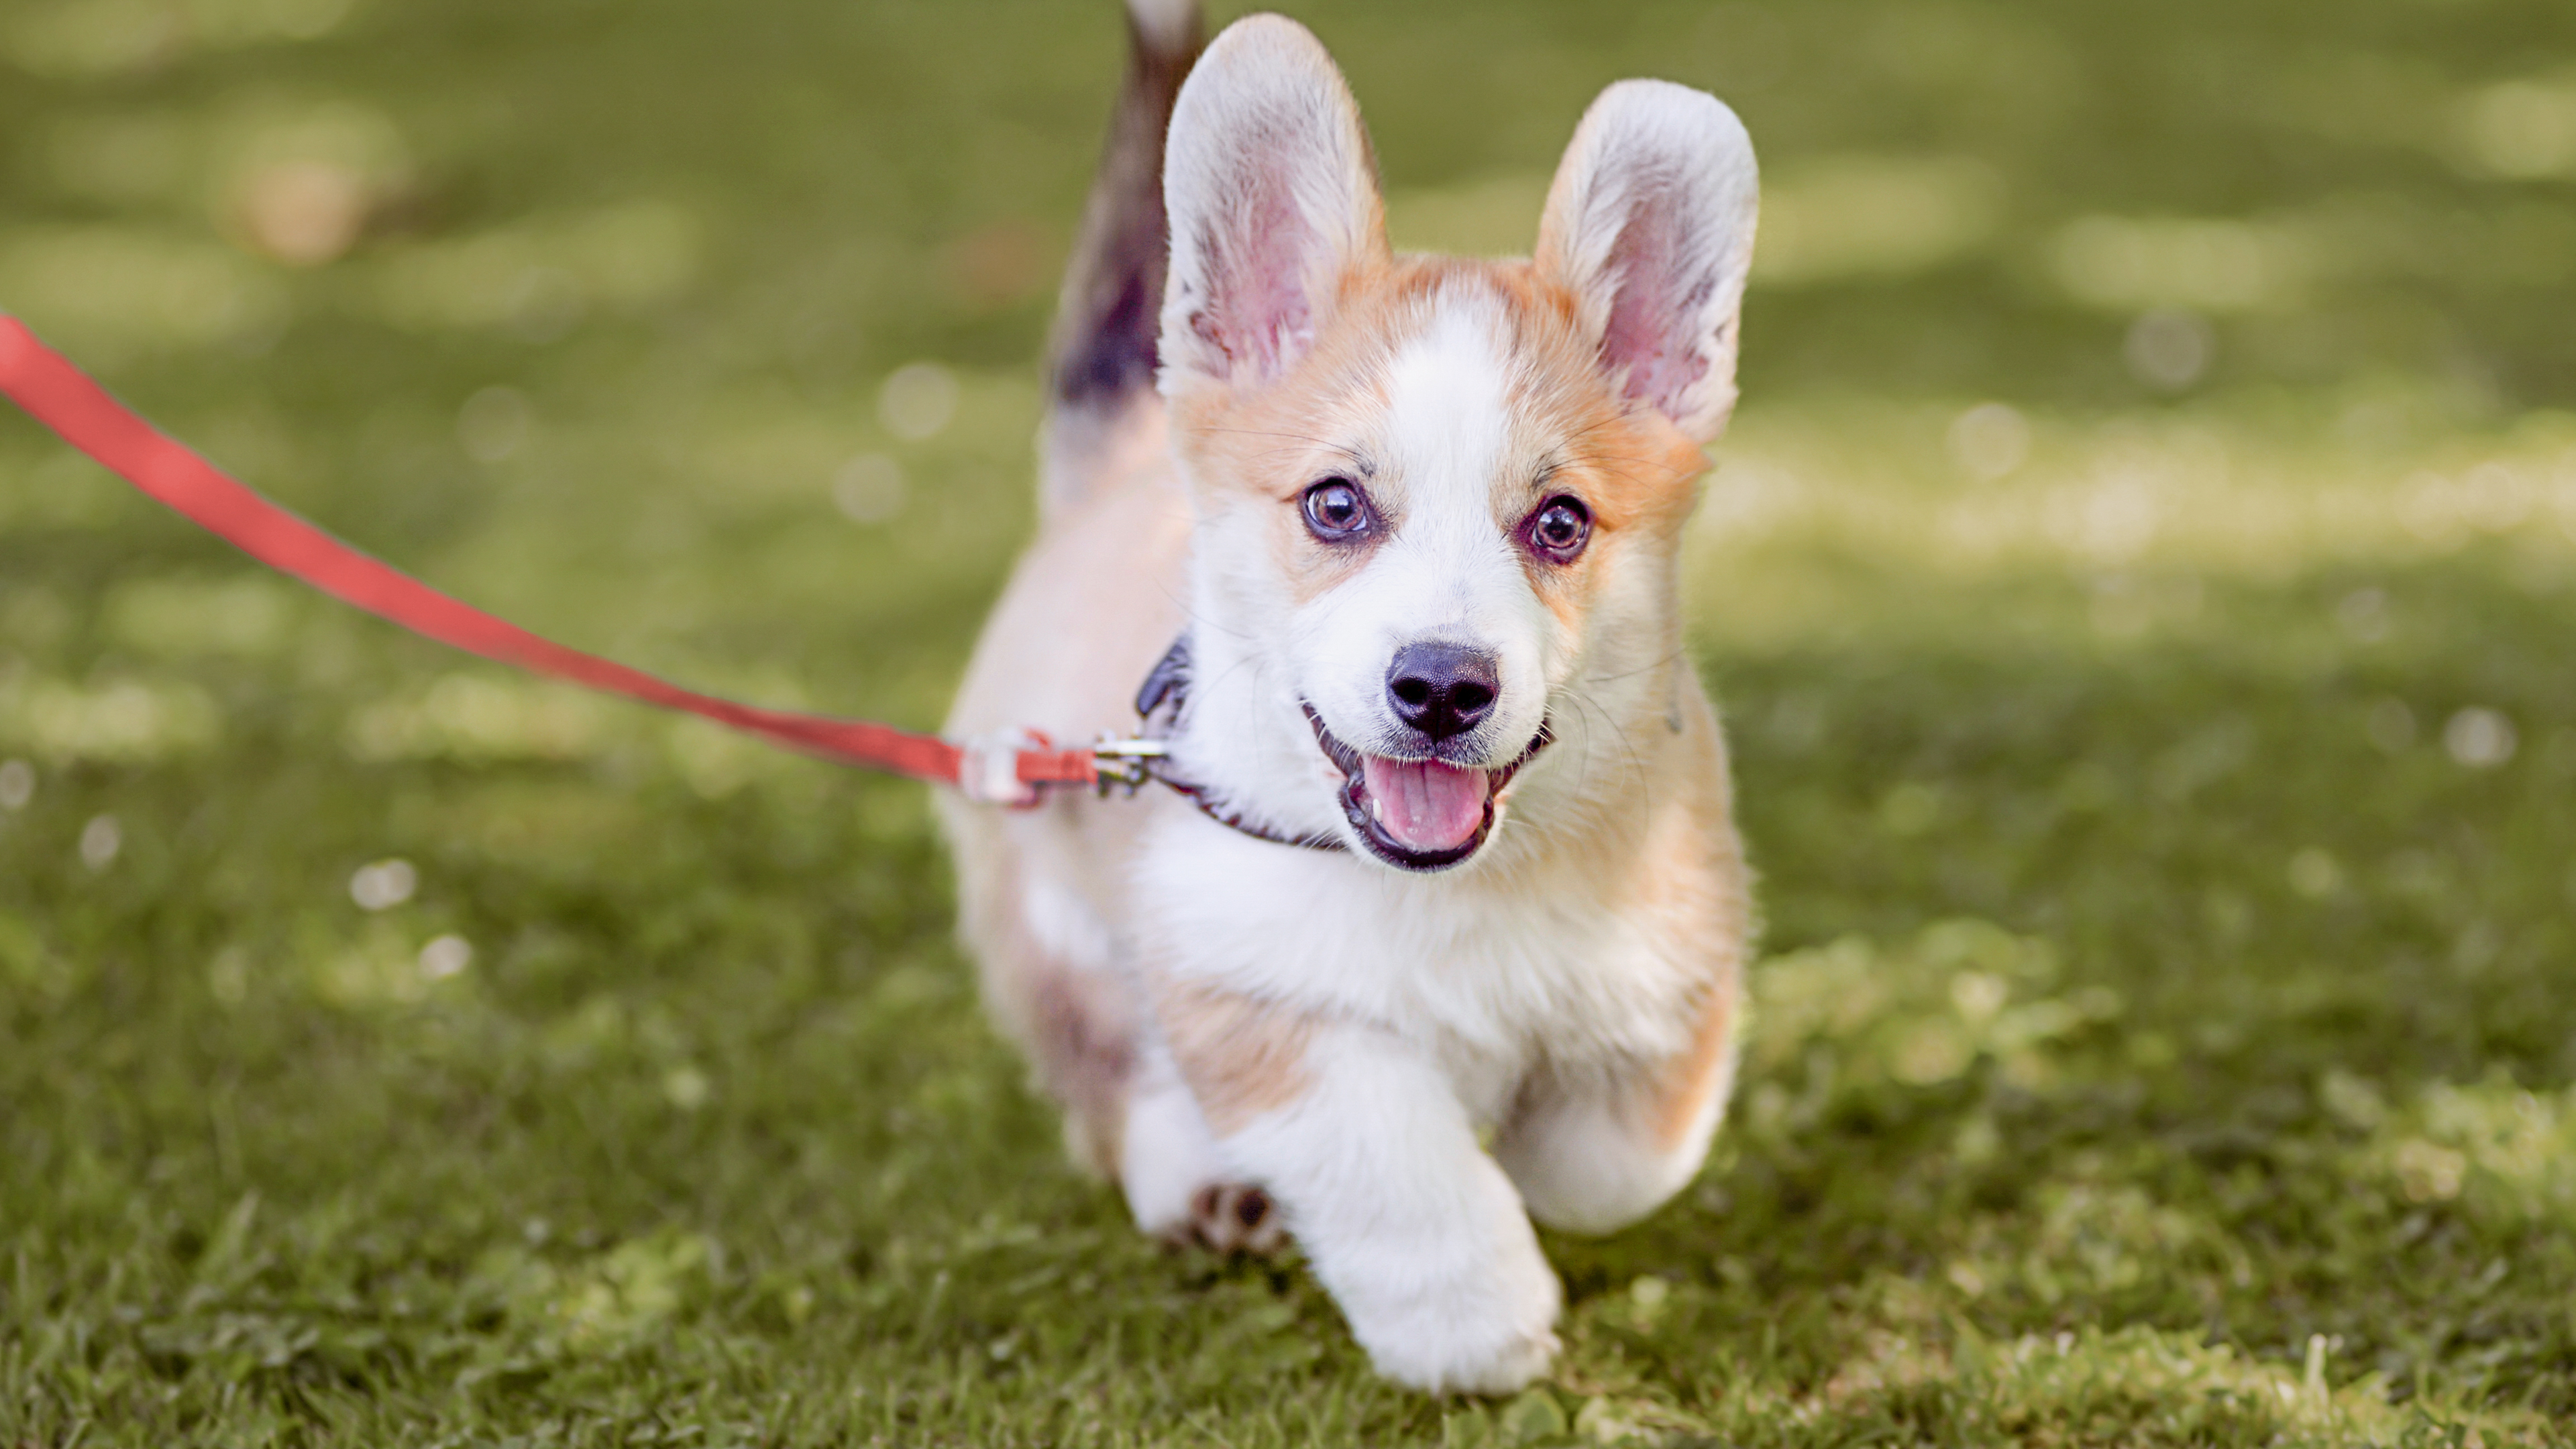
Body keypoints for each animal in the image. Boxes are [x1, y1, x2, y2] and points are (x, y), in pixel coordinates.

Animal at [937, 3, 1762, 1392]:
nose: (1440, 687)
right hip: (1045, 903)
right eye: (1336, 506)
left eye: (1559, 523)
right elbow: (1396, 1164)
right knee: (1110, 1073)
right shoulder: (1251, 980)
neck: (1456, 890)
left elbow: (1614, 1163)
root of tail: (1110, 472)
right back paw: (1199, 1181)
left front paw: (1530, 1150)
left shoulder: (1675, 955)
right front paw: (1476, 1322)